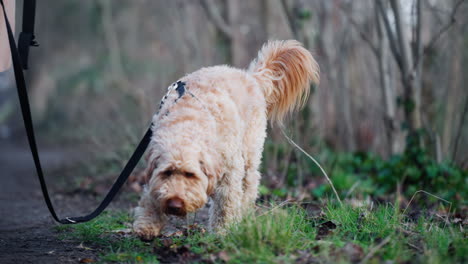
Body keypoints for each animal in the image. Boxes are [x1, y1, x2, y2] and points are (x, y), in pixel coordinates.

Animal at [133, 39, 320, 239]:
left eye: (190, 174)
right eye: (167, 172)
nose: (174, 204)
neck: (187, 122)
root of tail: (251, 76)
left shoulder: (230, 171)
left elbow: (226, 203)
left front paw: (222, 231)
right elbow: (150, 194)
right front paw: (147, 224)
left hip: (250, 154)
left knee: (250, 185)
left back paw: (244, 214)